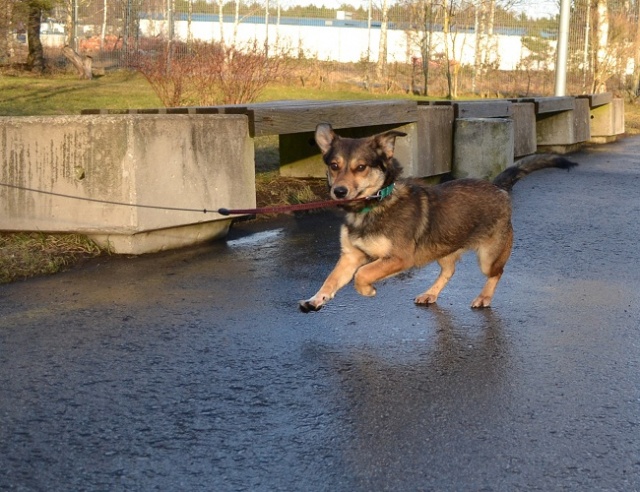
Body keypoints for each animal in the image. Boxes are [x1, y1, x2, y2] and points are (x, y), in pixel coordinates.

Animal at [299, 123, 577, 312]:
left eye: (361, 167)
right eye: (334, 165)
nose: (339, 191)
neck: (373, 205)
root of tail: (498, 186)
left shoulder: (399, 258)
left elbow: (363, 273)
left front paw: (367, 290)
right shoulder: (350, 256)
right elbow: (331, 279)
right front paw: (316, 299)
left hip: (488, 257)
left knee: (496, 272)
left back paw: (484, 297)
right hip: (443, 247)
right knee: (449, 271)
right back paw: (430, 293)